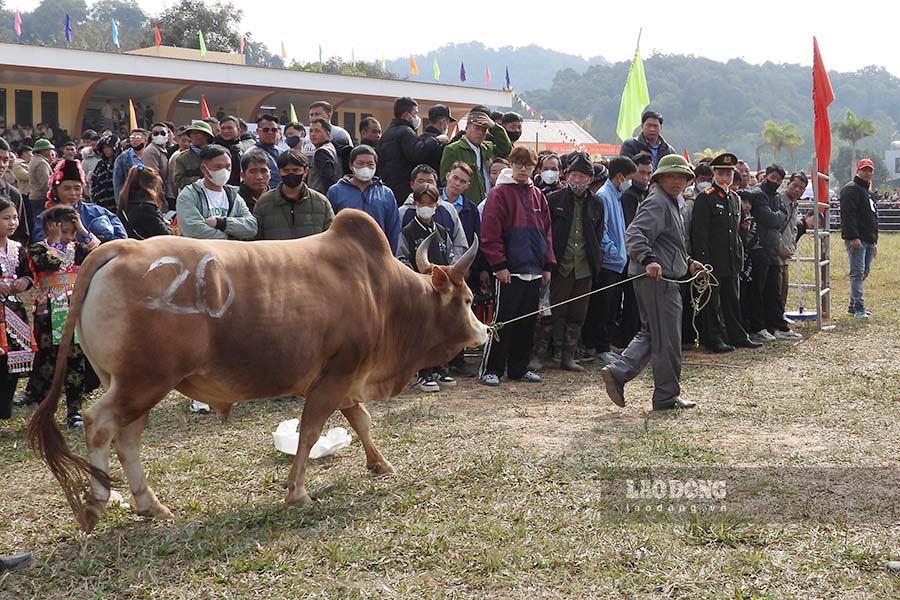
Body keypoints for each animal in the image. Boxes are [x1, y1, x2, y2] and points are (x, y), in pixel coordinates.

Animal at [28, 209, 488, 532]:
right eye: (467, 300)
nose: (486, 331)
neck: (382, 292)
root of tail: (119, 248)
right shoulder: (336, 376)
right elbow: (311, 431)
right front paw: (297, 492)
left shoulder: (345, 379)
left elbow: (361, 421)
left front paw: (380, 464)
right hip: (142, 383)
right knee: (98, 424)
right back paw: (95, 504)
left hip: (130, 385)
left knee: (127, 439)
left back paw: (150, 505)